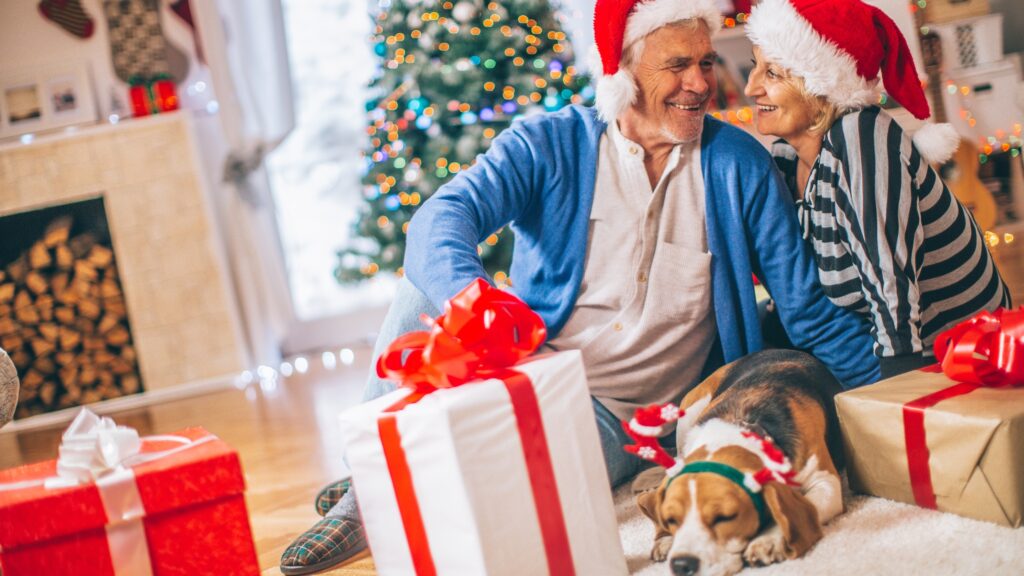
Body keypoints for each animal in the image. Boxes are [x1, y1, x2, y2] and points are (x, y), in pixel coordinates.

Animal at [626, 348, 843, 569]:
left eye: (725, 518)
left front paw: (768, 539)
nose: (681, 565)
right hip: (688, 416)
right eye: (672, 519)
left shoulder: (827, 484)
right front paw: (666, 539)